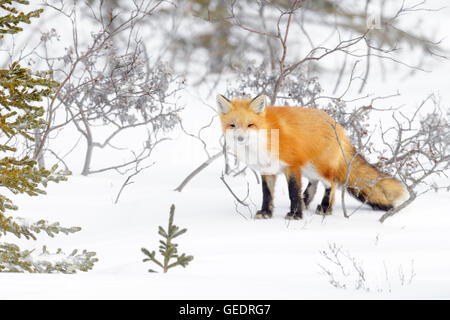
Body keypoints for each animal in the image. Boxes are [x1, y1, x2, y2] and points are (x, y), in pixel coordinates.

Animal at [216, 94, 410, 219]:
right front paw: (266, 213)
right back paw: (307, 201)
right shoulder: (267, 170)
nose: (240, 138)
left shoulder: (292, 166)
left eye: (250, 125)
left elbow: (293, 192)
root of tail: (338, 126)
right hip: (309, 169)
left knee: (331, 184)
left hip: (318, 168)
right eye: (232, 125)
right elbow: (267, 194)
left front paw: (295, 215)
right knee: (314, 185)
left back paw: (325, 208)